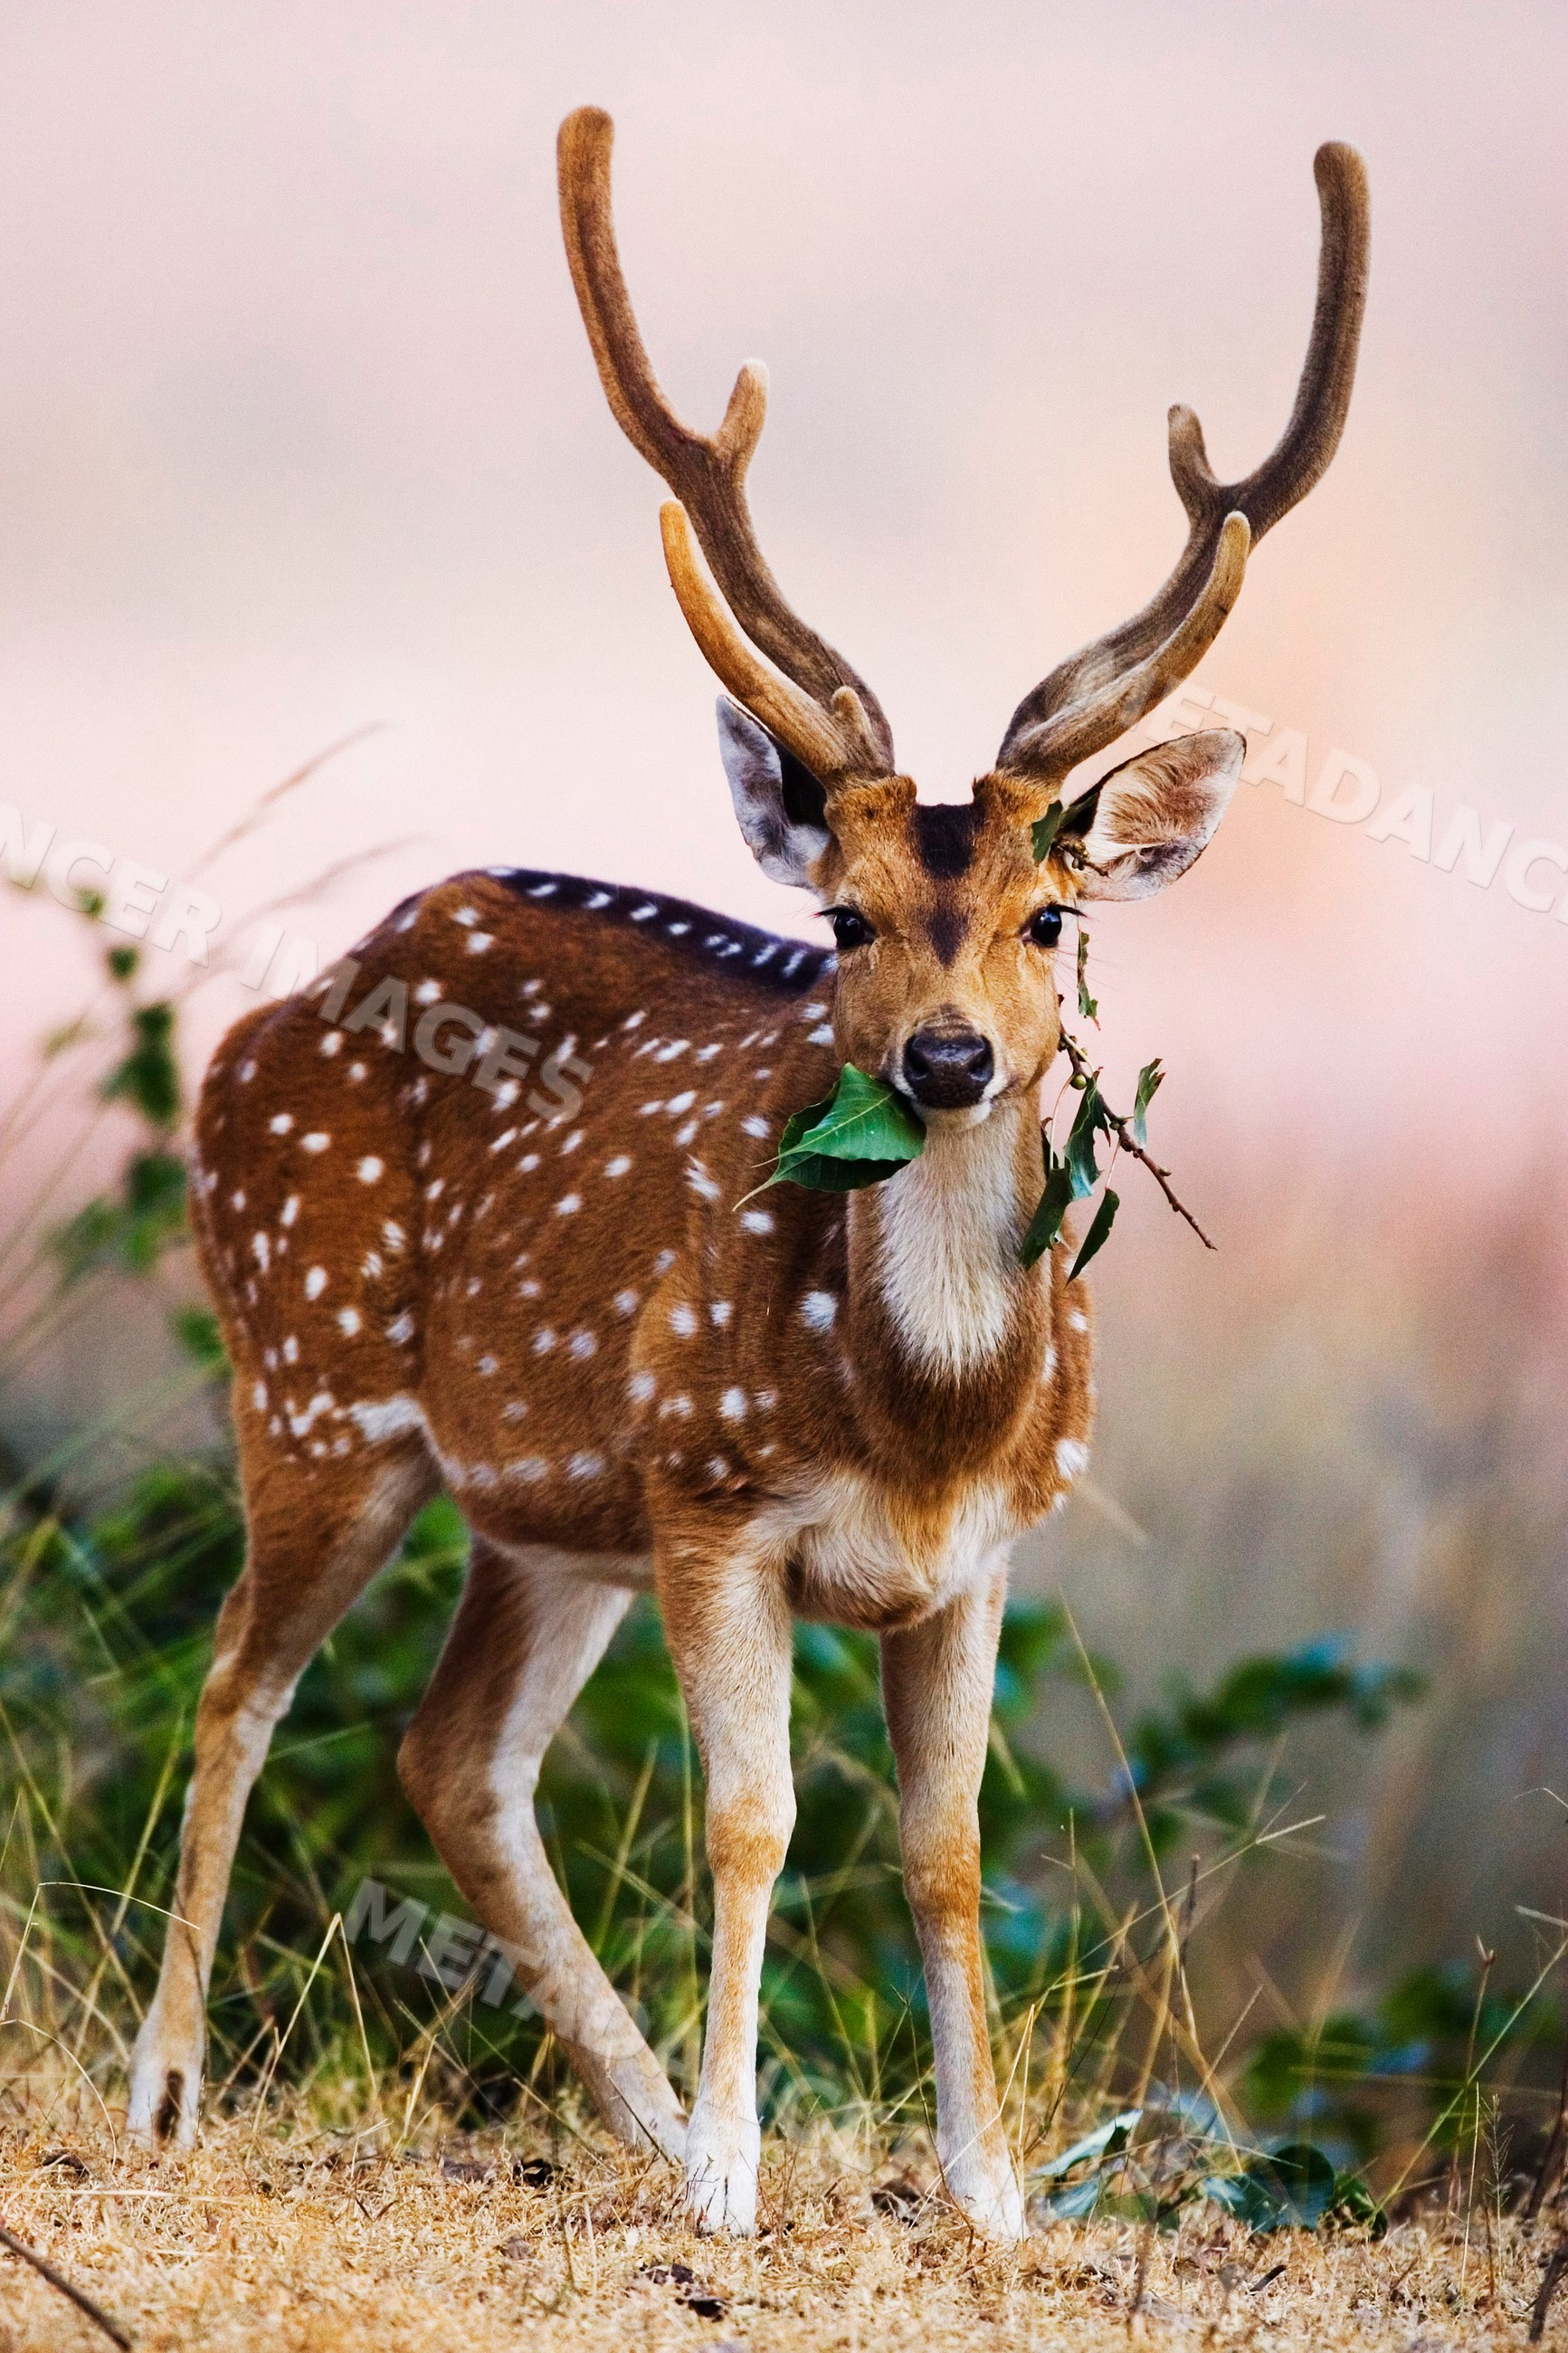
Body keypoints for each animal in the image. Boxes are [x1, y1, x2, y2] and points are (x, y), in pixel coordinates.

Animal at [127, 106, 1368, 2237]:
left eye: (1047, 915)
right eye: (845, 915)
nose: (941, 1059)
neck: (923, 1422)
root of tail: (263, 1021)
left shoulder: (982, 1552)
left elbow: (947, 1850)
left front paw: (982, 2187)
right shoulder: (712, 1498)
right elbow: (750, 1817)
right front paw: (727, 2173)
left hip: (547, 1509)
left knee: (450, 1757)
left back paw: (621, 2106)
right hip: (314, 1379)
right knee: (236, 1688)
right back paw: (174, 2087)